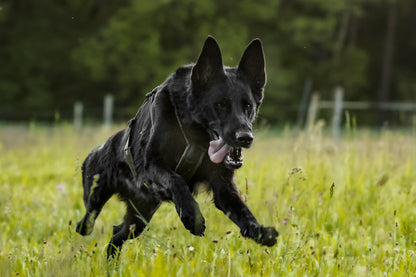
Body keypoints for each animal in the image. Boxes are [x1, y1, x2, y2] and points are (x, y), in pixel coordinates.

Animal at [77, 36, 280, 256]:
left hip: (140, 216)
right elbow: (176, 180)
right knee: (86, 223)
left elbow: (243, 211)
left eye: (248, 106)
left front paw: (258, 230)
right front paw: (192, 217)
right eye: (220, 105)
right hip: (97, 197)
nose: (245, 137)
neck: (193, 134)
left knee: (117, 234)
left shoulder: (222, 187)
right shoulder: (150, 166)